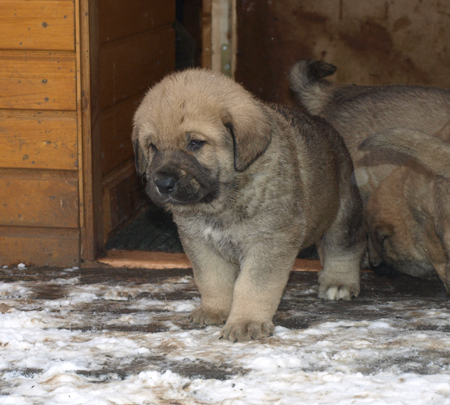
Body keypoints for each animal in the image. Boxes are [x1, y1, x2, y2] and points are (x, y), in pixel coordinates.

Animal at [133, 69, 366, 340]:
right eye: (152, 146)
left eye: (195, 143)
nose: (162, 183)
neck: (221, 201)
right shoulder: (200, 243)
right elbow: (212, 280)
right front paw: (214, 310)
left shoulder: (269, 242)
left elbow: (253, 286)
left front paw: (246, 322)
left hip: (343, 210)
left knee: (344, 247)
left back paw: (338, 282)